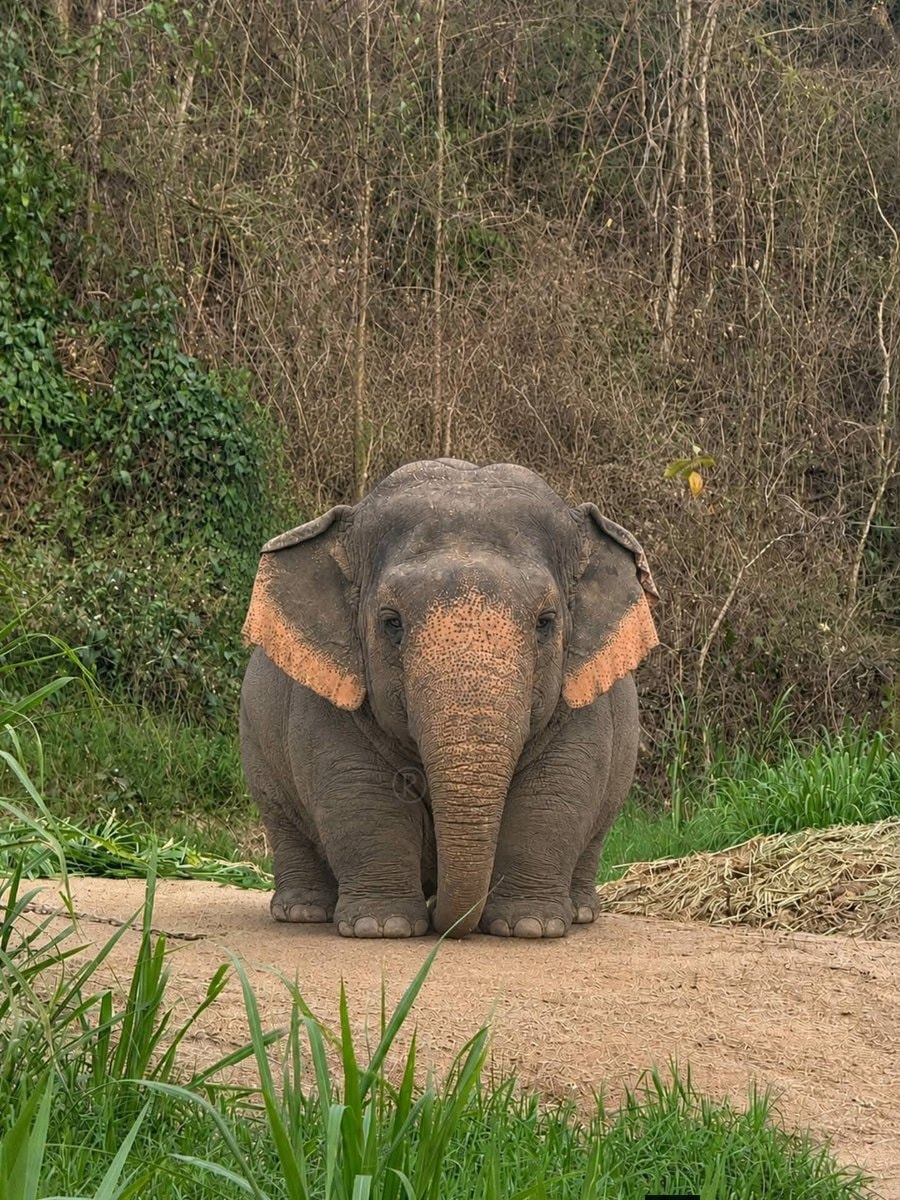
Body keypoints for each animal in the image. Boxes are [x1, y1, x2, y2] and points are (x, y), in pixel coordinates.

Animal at [240, 458, 658, 940]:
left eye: (546, 622)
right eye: (391, 622)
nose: (446, 918)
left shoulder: (581, 695)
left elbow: (555, 788)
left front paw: (530, 927)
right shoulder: (328, 694)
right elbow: (359, 789)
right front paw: (381, 927)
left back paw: (582, 912)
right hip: (256, 746)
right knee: (283, 820)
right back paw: (303, 912)